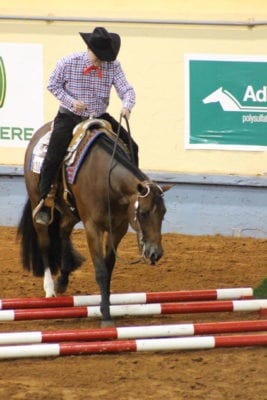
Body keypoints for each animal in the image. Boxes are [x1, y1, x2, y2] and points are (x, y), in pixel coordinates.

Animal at [17, 118, 172, 324]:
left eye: (163, 213)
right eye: (144, 213)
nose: (155, 253)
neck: (106, 180)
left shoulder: (118, 228)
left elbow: (109, 267)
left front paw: (105, 306)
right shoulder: (92, 227)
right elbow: (101, 270)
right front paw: (105, 316)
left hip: (71, 212)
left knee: (63, 231)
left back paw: (63, 280)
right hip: (38, 204)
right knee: (45, 243)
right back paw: (49, 289)